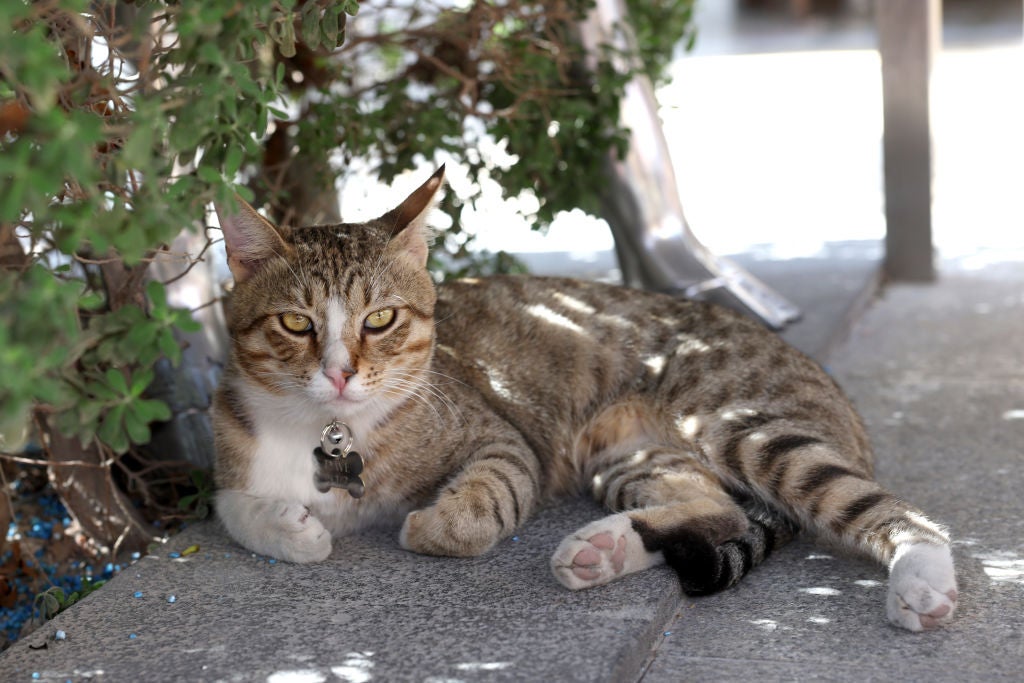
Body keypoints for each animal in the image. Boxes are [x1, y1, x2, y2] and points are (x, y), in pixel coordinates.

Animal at [211, 165, 954, 630]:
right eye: (296, 324)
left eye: (381, 319)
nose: (339, 373)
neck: (330, 431)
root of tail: (838, 397)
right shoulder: (228, 450)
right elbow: (230, 506)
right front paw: (289, 528)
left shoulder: (501, 436)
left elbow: (481, 503)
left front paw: (430, 523)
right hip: (625, 454)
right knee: (715, 509)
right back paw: (604, 548)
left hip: (738, 423)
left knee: (901, 514)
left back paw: (923, 581)